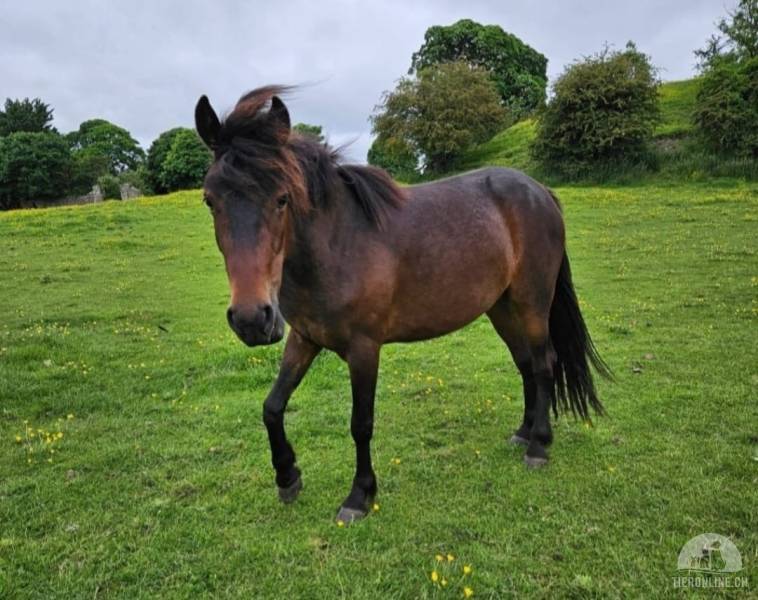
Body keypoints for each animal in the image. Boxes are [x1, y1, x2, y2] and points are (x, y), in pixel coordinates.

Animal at [194, 86, 610, 523]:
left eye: (282, 199)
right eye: (210, 200)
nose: (251, 319)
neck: (338, 243)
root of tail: (540, 192)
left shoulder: (364, 349)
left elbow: (361, 423)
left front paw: (359, 495)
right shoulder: (304, 338)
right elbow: (272, 407)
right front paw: (288, 476)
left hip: (532, 303)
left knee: (545, 364)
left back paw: (539, 446)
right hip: (501, 307)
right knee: (527, 364)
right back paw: (523, 433)